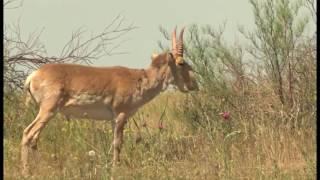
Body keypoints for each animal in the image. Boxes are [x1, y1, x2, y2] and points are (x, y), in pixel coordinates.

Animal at [21, 27, 198, 176]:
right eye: (181, 62)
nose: (193, 84)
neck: (139, 80)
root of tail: (33, 76)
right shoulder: (121, 115)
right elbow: (117, 143)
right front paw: (115, 168)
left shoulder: (114, 120)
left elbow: (114, 143)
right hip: (48, 110)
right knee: (28, 133)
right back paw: (26, 172)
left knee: (34, 138)